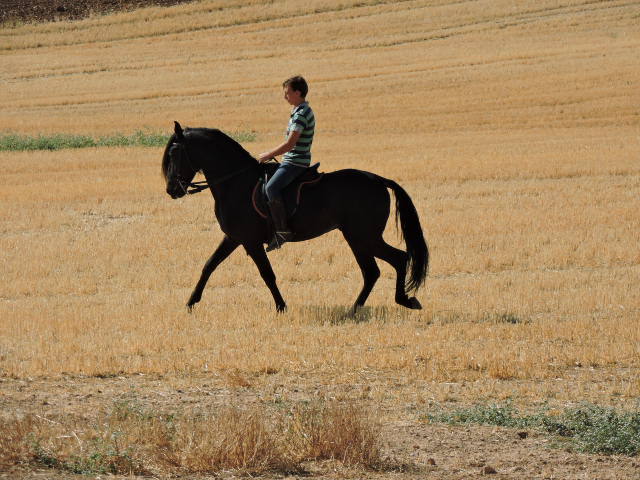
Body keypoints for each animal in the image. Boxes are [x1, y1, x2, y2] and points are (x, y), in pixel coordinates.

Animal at [162, 121, 428, 314]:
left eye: (174, 152)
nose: (172, 190)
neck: (235, 182)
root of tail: (378, 180)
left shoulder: (251, 242)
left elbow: (267, 274)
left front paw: (281, 306)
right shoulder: (234, 238)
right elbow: (209, 265)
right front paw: (190, 302)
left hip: (362, 236)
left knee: (392, 260)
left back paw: (397, 301)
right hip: (360, 238)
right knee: (377, 269)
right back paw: (359, 308)